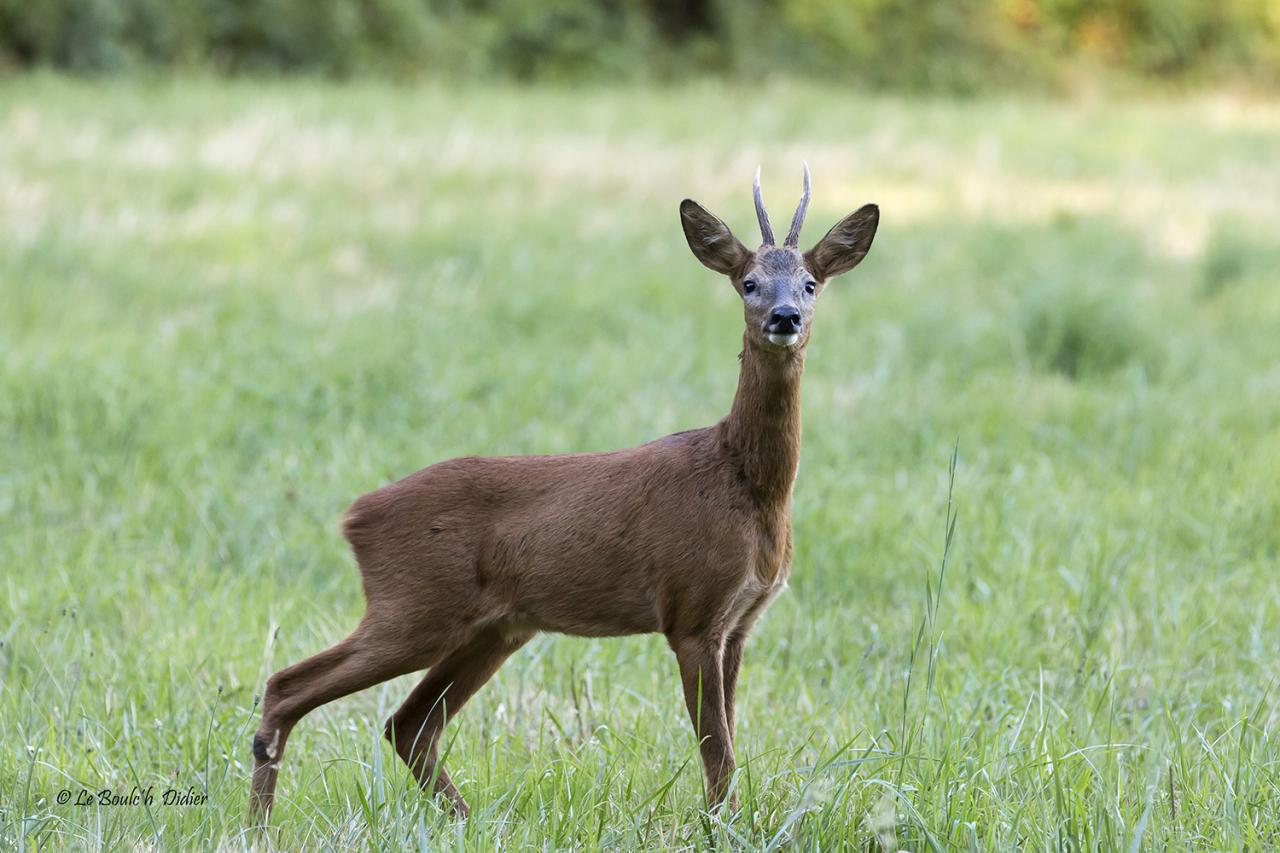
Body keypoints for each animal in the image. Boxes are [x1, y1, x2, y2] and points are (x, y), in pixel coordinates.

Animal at [247, 162, 880, 819]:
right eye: (749, 282)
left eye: (810, 284)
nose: (785, 318)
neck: (747, 487)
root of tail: (354, 517)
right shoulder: (692, 610)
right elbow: (718, 755)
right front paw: (720, 829)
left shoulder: (740, 621)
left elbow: (728, 748)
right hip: (413, 605)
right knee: (288, 687)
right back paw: (260, 828)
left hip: (495, 627)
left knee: (408, 723)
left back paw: (467, 821)